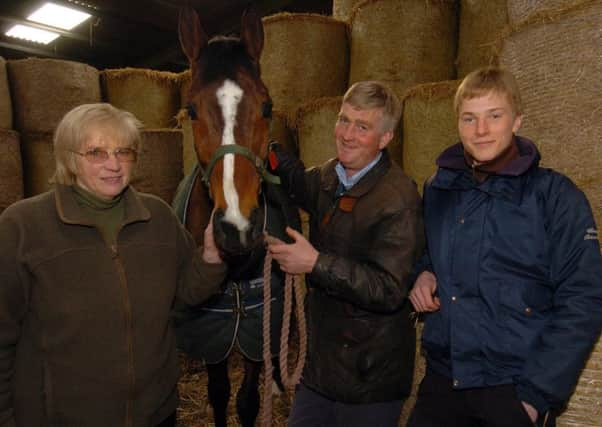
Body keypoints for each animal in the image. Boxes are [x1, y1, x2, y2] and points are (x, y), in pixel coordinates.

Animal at [170, 4, 298, 427]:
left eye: (267, 106)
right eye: (191, 109)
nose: (237, 228)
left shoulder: (259, 323)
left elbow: (246, 400)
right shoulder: (213, 331)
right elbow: (220, 392)